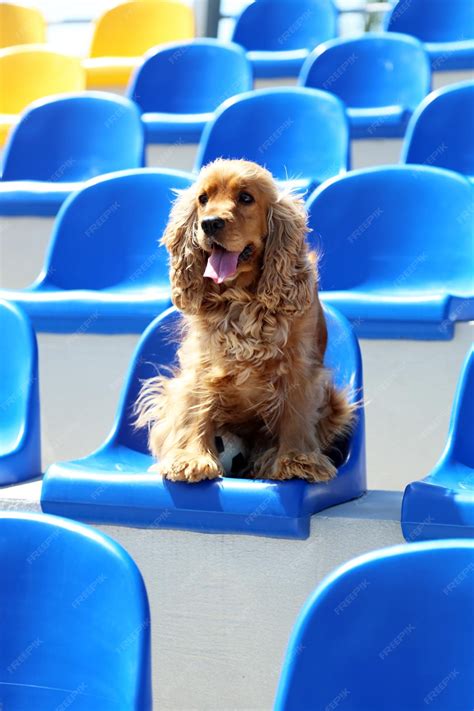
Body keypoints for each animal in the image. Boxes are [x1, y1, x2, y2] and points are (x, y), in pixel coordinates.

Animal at [135, 160, 354, 484]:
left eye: (246, 198)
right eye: (203, 199)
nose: (210, 223)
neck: (241, 298)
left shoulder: (299, 365)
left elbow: (296, 415)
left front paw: (297, 460)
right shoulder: (202, 363)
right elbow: (197, 410)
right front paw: (192, 459)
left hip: (333, 403)